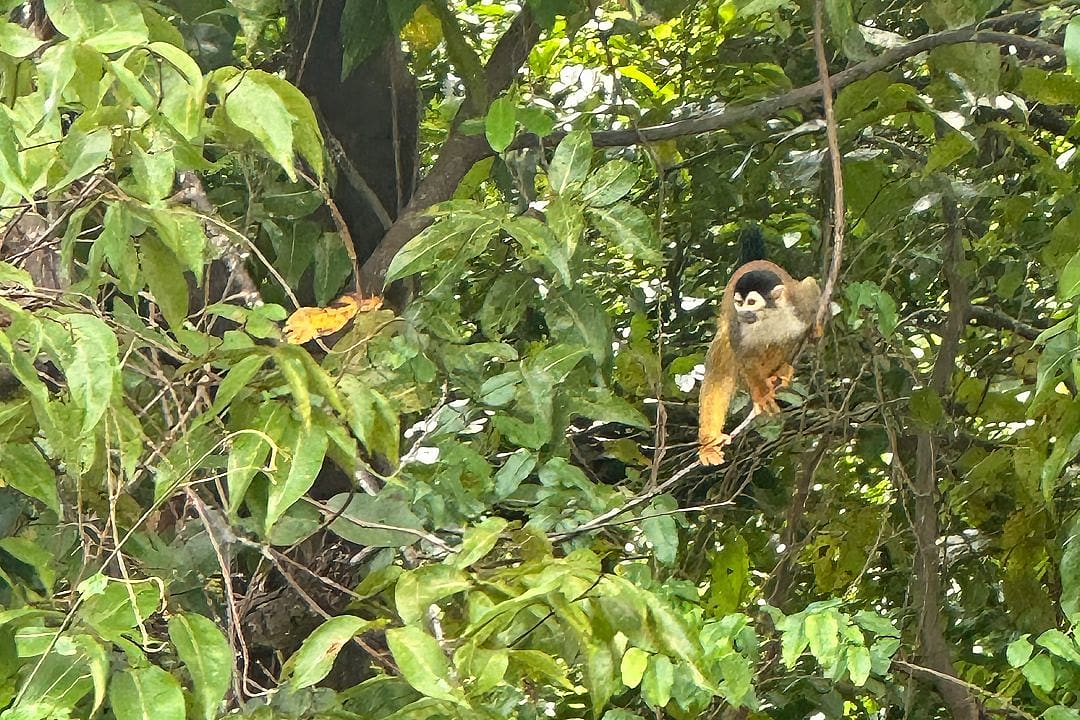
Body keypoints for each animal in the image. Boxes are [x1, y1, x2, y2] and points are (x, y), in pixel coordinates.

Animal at [698, 255, 822, 466]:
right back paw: (710, 443)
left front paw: (816, 328)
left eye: (751, 302)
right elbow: (744, 356)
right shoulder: (737, 324)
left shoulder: (800, 303)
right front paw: (762, 395)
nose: (743, 312)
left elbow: (810, 286)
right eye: (739, 303)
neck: (768, 316)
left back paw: (780, 371)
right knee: (725, 356)